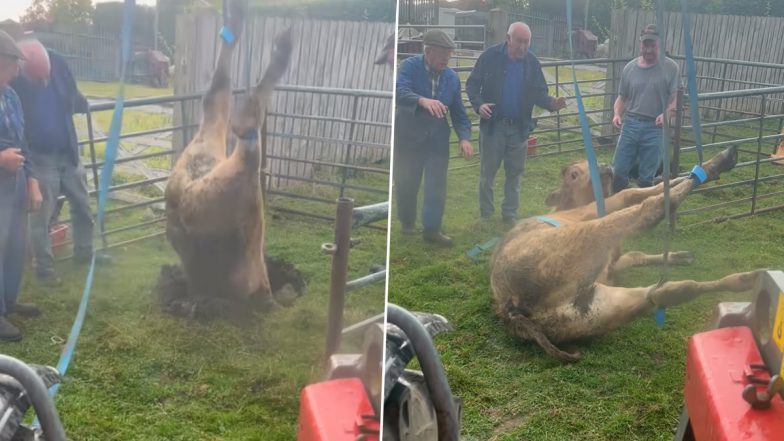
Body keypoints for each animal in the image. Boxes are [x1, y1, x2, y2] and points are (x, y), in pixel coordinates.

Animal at [494, 145, 764, 360]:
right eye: (574, 174)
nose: (604, 165)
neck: (567, 207)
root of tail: (511, 307)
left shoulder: (610, 265)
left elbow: (635, 253)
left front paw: (678, 256)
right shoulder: (595, 212)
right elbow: (633, 193)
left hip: (600, 307)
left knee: (667, 292)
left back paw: (748, 280)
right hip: (590, 234)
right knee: (651, 208)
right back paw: (718, 161)